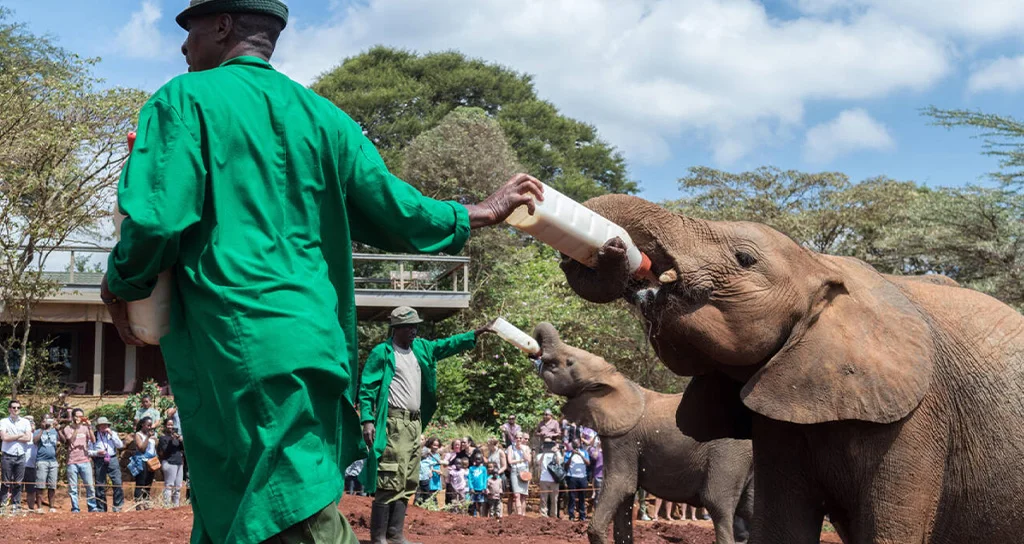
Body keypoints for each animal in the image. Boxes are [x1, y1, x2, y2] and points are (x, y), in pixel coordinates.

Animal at [534, 321, 754, 544]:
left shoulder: (623, 440)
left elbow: (622, 485)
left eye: (569, 362)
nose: (538, 356)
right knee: (749, 507)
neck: (618, 379)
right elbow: (625, 498)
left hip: (728, 453)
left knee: (718, 504)